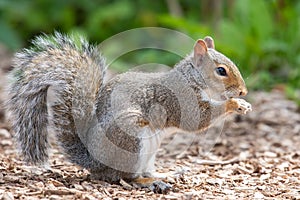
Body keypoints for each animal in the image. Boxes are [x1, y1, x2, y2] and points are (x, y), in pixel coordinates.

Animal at [6, 32, 251, 194]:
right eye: (221, 71)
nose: (244, 91)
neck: (193, 79)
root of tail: (95, 162)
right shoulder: (179, 99)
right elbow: (196, 119)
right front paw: (234, 104)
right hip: (131, 140)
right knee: (123, 178)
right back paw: (147, 182)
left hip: (149, 151)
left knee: (140, 172)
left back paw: (161, 175)